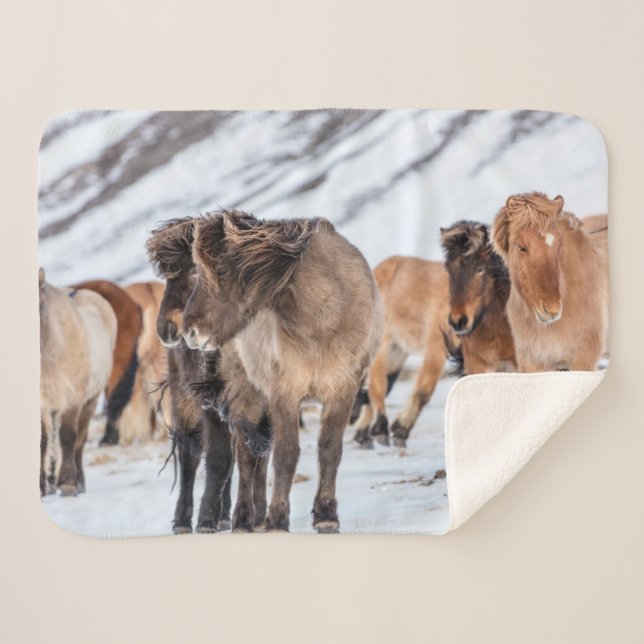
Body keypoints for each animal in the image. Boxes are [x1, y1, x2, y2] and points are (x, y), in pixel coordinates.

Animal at [39, 268, 116, 496]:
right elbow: (43, 441)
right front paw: (41, 487)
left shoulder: (74, 398)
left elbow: (68, 437)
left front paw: (68, 482)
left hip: (91, 399)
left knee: (80, 440)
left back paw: (79, 481)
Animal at [147, 218, 270, 533]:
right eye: (167, 280)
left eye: (195, 271)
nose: (166, 329)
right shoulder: (210, 402)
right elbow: (218, 458)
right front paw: (205, 519)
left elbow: (256, 454)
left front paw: (256, 516)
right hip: (186, 400)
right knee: (190, 453)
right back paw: (184, 520)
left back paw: (227, 515)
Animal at [183, 210, 382, 533]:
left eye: (220, 271)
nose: (190, 331)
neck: (324, 321)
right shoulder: (285, 393)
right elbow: (286, 454)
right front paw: (278, 519)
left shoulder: (343, 389)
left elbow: (329, 449)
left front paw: (326, 515)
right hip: (247, 392)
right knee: (246, 456)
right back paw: (243, 519)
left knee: (260, 456)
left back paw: (257, 516)